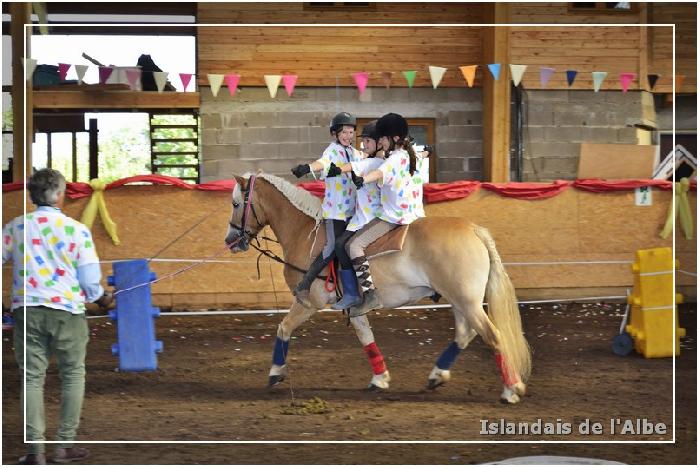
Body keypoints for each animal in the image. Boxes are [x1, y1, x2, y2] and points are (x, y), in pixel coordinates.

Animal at [224, 172, 532, 402]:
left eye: (237, 204)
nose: (230, 240)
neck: (305, 234)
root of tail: (474, 230)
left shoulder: (308, 302)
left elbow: (283, 328)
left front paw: (276, 372)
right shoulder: (353, 306)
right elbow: (366, 338)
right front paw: (380, 378)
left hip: (466, 300)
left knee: (493, 336)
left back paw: (511, 389)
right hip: (458, 300)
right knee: (465, 334)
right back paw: (437, 375)